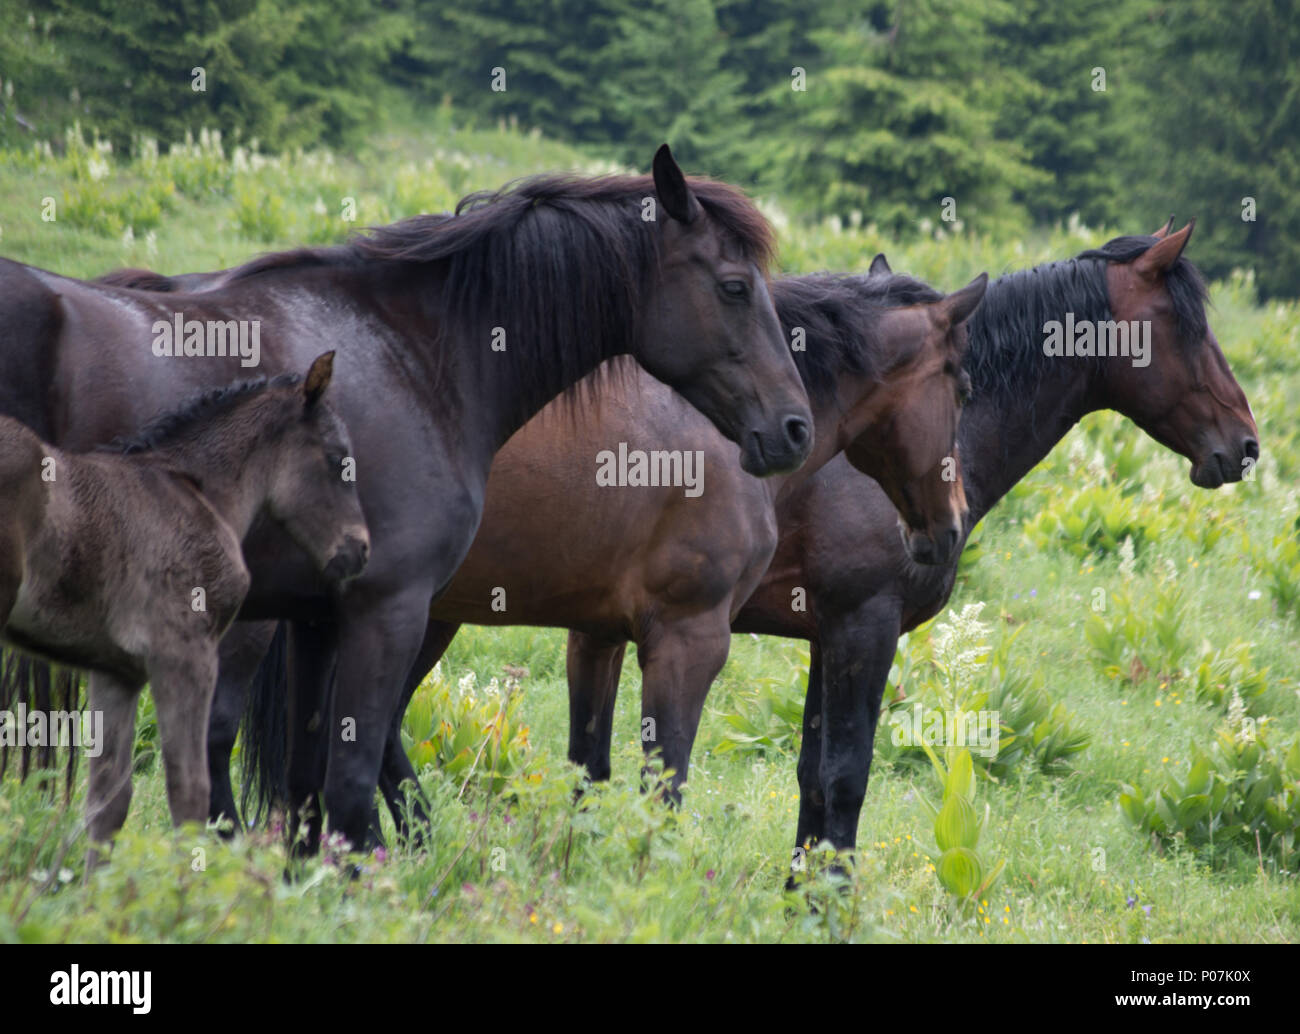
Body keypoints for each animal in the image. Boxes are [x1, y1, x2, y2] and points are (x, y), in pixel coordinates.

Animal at [0, 353, 367, 858]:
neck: (198, 493)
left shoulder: (116, 671)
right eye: (337, 459)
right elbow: (190, 793)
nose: (359, 550)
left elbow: (108, 801)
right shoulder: (185, 655)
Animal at [226, 266, 989, 835]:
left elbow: (589, 769)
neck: (724, 429)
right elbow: (663, 789)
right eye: (963, 386)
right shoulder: (690, 640)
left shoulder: (598, 632)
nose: (949, 527)